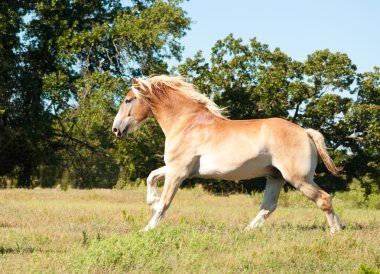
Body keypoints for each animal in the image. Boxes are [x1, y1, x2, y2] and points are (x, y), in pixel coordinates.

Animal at [111, 74, 342, 231]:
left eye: (128, 100)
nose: (116, 129)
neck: (187, 122)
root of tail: (305, 132)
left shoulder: (178, 171)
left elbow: (166, 202)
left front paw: (147, 228)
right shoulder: (178, 168)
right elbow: (151, 177)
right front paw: (152, 202)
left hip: (298, 179)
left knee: (324, 199)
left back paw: (336, 231)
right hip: (276, 177)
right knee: (268, 206)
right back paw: (246, 231)